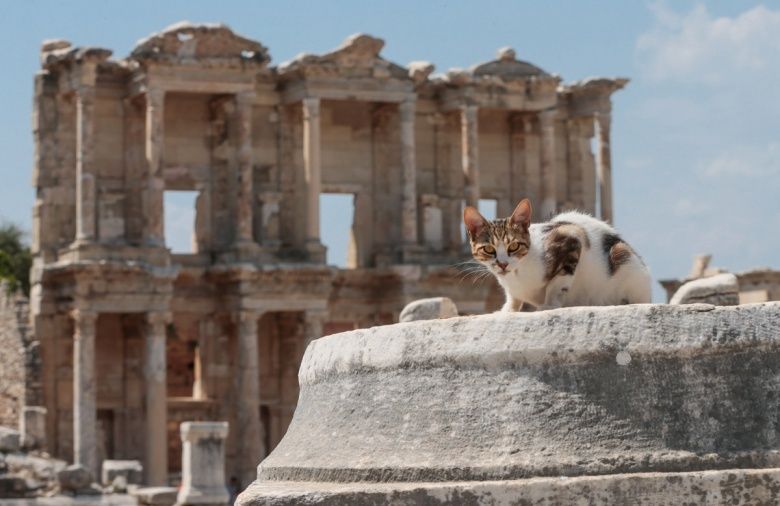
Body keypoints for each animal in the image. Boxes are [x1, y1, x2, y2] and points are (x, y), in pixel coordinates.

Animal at [464, 199, 652, 310]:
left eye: (514, 246)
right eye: (489, 249)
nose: (503, 264)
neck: (517, 276)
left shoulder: (572, 236)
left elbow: (557, 284)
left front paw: (548, 305)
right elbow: (513, 298)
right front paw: (508, 310)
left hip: (624, 256)